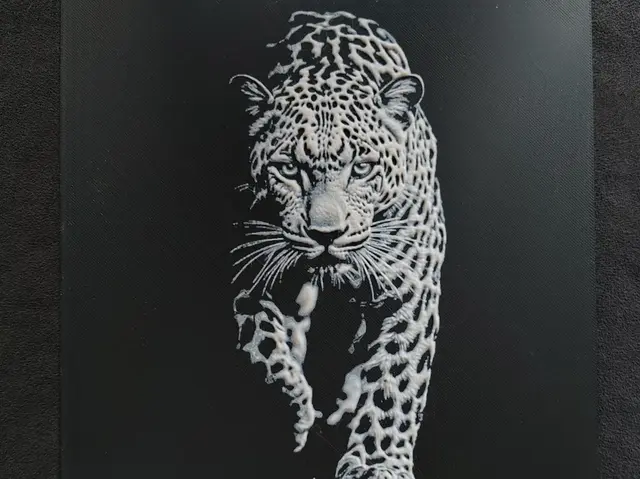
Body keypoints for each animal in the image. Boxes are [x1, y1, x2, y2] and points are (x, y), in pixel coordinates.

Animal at [230, 11, 446, 479]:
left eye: (362, 168)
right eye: (288, 169)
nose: (325, 234)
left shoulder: (413, 291)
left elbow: (396, 381)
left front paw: (378, 462)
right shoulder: (244, 270)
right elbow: (260, 342)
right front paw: (291, 408)